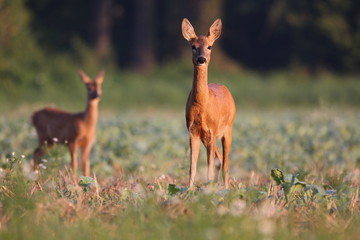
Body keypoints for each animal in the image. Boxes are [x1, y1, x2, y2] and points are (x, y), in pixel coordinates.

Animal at [181, 18, 238, 188]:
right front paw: (189, 190)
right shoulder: (193, 131)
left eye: (209, 46)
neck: (202, 106)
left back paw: (226, 187)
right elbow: (192, 167)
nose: (201, 59)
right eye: (193, 46)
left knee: (225, 162)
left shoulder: (212, 130)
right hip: (207, 137)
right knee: (219, 159)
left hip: (228, 128)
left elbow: (209, 168)